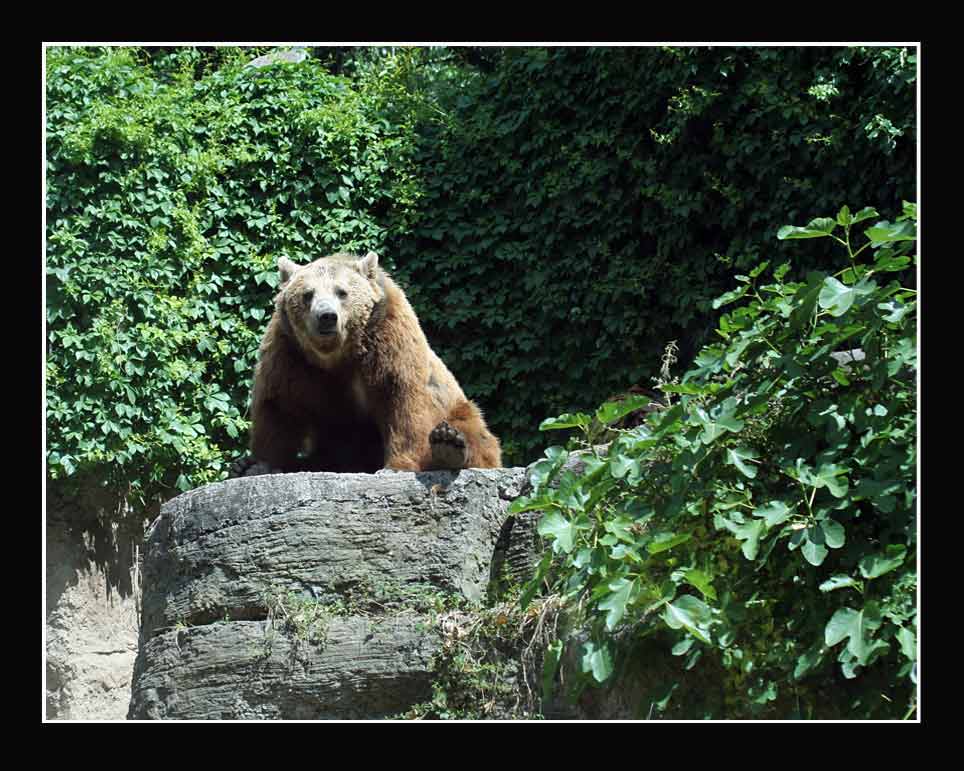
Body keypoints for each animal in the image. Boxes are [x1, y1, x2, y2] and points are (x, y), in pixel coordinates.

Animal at [235, 251, 502, 476]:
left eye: (341, 292)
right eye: (307, 294)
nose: (326, 317)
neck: (337, 355)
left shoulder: (389, 341)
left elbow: (403, 399)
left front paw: (397, 466)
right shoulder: (290, 354)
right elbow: (279, 407)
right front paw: (260, 464)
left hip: (455, 406)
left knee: (476, 434)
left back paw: (449, 444)